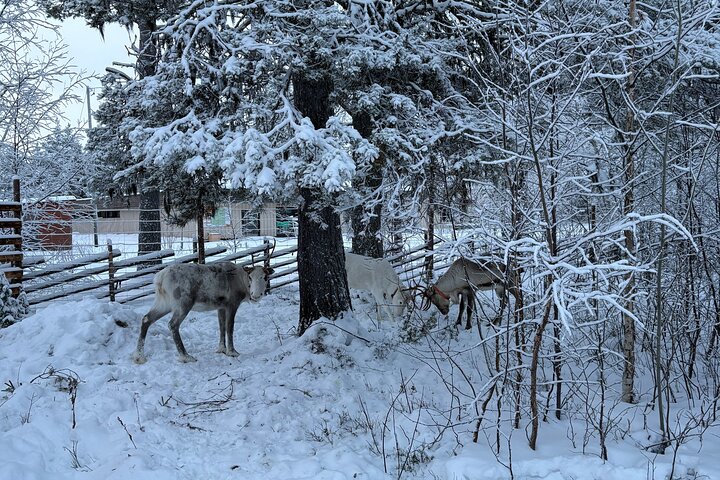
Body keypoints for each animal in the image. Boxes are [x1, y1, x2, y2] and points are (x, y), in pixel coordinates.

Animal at [132, 262, 273, 364]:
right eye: (250, 277)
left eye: (265, 277)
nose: (256, 295)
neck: (240, 280)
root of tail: (159, 279)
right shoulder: (232, 304)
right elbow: (230, 328)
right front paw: (232, 352)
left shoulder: (221, 307)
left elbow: (221, 327)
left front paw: (221, 349)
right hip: (183, 304)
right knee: (172, 324)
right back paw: (186, 356)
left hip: (164, 303)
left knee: (146, 319)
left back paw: (139, 356)